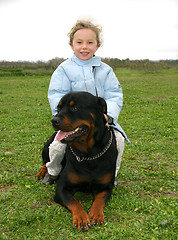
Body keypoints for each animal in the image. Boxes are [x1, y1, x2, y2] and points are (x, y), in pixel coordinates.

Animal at [36, 92, 117, 231]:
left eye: (75, 108)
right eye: (59, 108)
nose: (54, 120)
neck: (89, 154)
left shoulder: (106, 187)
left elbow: (99, 200)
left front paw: (96, 214)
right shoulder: (62, 188)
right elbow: (73, 202)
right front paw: (81, 218)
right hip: (47, 147)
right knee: (46, 163)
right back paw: (42, 174)